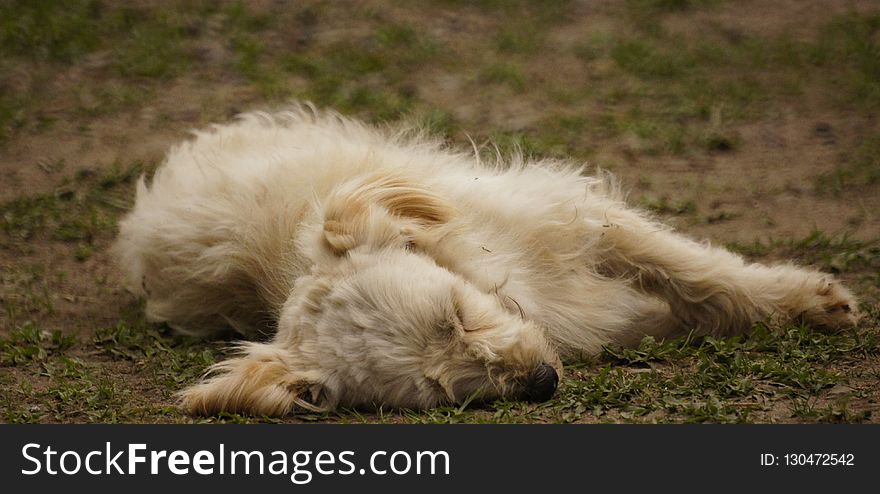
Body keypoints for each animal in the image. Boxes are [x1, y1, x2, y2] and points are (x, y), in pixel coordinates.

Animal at [113, 105, 856, 416]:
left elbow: (698, 273)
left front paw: (802, 302)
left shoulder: (579, 217)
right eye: (439, 391)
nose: (542, 382)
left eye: (457, 315)